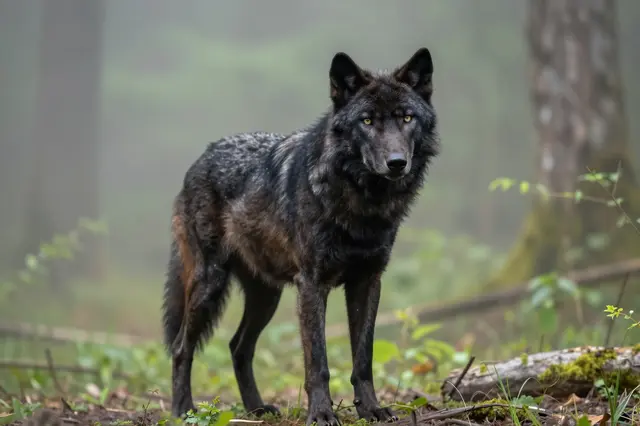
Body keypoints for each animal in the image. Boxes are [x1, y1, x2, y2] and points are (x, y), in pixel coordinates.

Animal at [162, 47, 439, 426]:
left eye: (407, 118)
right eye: (367, 121)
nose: (397, 162)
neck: (362, 204)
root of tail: (203, 155)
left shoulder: (368, 281)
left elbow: (363, 359)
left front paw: (371, 409)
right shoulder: (312, 285)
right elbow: (318, 363)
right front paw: (321, 413)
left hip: (267, 297)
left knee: (238, 347)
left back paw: (256, 408)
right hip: (210, 285)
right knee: (181, 347)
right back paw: (183, 409)